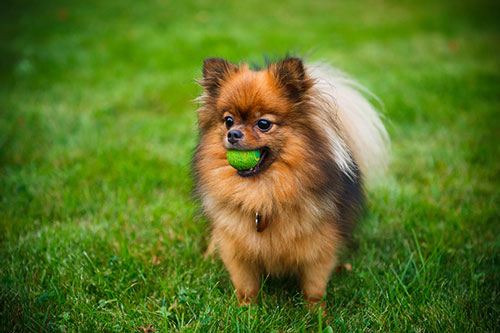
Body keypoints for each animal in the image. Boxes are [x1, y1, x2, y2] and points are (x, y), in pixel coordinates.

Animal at [193, 56, 388, 306]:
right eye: (228, 120)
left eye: (263, 124)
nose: (233, 134)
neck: (263, 195)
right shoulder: (237, 248)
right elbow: (245, 286)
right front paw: (246, 309)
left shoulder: (319, 249)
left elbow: (314, 288)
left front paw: (317, 313)